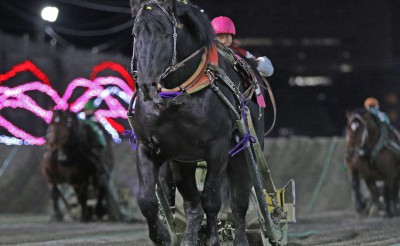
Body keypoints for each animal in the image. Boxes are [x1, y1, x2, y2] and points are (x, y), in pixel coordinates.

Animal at [130, 0, 268, 245]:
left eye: (166, 34)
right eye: (136, 34)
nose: (147, 85)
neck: (178, 96)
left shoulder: (218, 149)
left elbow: (212, 198)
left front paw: (212, 238)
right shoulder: (149, 147)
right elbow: (147, 199)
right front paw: (161, 235)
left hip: (245, 149)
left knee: (239, 200)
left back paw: (240, 238)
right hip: (184, 160)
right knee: (192, 204)